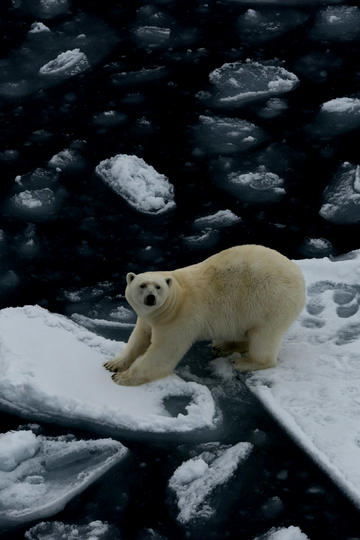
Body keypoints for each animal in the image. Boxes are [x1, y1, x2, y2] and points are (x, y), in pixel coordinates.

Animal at [105, 245, 306, 388]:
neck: (176, 298)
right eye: (142, 285)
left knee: (263, 337)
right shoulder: (148, 318)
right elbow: (138, 338)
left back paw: (244, 362)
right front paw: (113, 364)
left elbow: (162, 352)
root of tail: (300, 276)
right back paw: (223, 346)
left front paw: (121, 377)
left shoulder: (179, 318)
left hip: (269, 301)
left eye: (158, 287)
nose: (151, 298)